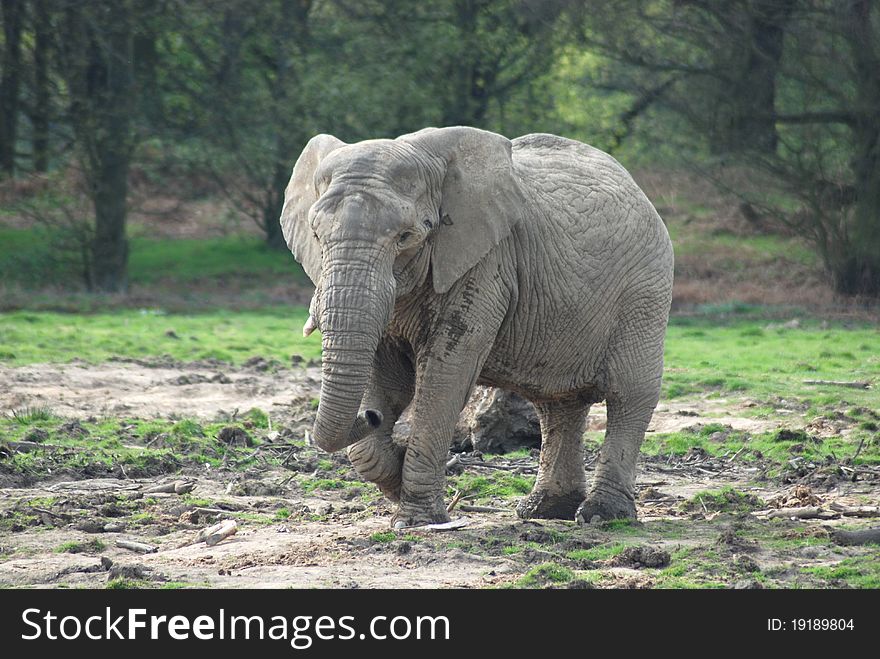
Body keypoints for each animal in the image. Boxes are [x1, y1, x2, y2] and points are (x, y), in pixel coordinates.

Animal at [282, 126, 672, 532]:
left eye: (407, 236)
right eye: (315, 236)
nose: (370, 417)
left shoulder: (486, 262)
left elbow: (444, 377)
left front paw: (417, 521)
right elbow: (386, 378)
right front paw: (395, 468)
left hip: (646, 290)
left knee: (629, 395)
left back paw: (601, 516)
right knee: (557, 405)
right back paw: (545, 511)